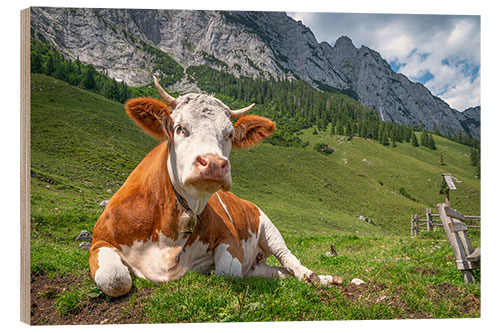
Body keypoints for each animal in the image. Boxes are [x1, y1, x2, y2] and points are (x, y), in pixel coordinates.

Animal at [88, 78, 342, 296]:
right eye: (179, 127)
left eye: (229, 134)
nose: (213, 163)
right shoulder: (99, 240)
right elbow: (115, 279)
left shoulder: (230, 240)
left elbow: (227, 271)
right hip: (259, 261)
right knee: (277, 272)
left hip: (269, 228)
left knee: (289, 260)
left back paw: (317, 277)